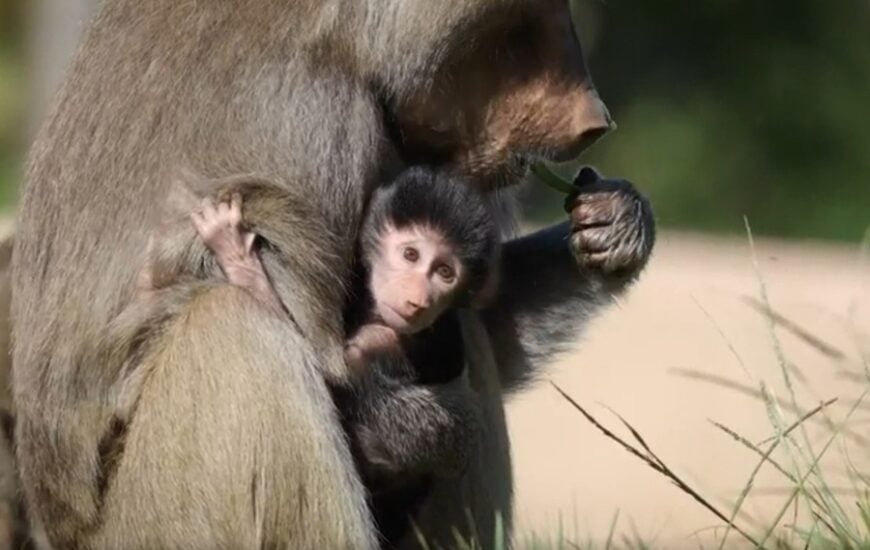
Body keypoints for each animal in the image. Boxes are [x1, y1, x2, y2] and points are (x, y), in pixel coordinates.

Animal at [10, 1, 653, 548]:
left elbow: (483, 320)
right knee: (234, 329)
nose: (593, 122)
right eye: (521, 27)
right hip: (158, 520)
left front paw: (614, 228)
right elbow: (335, 369)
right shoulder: (309, 127)